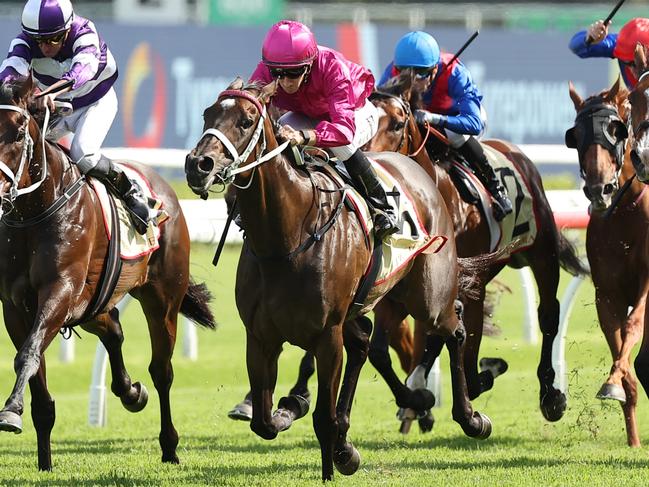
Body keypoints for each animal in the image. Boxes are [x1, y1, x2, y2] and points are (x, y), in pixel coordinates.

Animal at [0, 78, 215, 470]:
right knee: (113, 329)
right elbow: (35, 370)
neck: (34, 211)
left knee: (162, 371)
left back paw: (169, 445)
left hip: (161, 298)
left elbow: (28, 354)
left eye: (19, 132)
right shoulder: (16, 306)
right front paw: (44, 460)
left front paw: (9, 411)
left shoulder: (60, 290)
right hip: (92, 303)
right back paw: (130, 392)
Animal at [185, 79, 488, 480]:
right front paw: (294, 413)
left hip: (428, 297)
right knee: (363, 344)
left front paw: (332, 458)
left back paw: (470, 418)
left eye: (247, 120)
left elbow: (322, 418)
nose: (197, 165)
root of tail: (419, 170)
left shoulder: (327, 334)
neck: (287, 237)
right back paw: (409, 401)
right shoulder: (260, 336)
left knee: (453, 329)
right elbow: (264, 421)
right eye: (207, 114)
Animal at [362, 75, 588, 424]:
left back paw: (551, 395)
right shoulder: (400, 286)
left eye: (398, 124)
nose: (371, 166)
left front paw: (480, 377)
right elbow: (380, 351)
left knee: (549, 315)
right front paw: (417, 395)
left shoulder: (467, 285)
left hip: (542, 253)